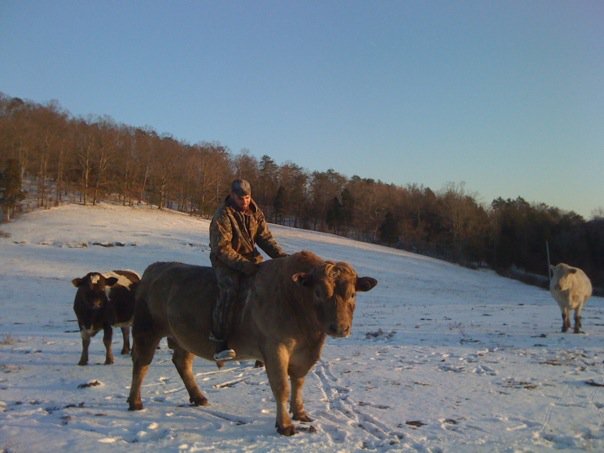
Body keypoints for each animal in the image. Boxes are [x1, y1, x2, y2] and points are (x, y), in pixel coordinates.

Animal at [127, 251, 376, 434]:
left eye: (352, 294)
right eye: (318, 292)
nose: (339, 328)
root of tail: (157, 267)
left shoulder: (304, 354)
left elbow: (298, 382)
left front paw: (300, 413)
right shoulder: (275, 348)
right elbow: (282, 386)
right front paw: (285, 425)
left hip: (184, 337)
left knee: (182, 362)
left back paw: (198, 397)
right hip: (146, 330)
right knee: (141, 363)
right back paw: (135, 402)